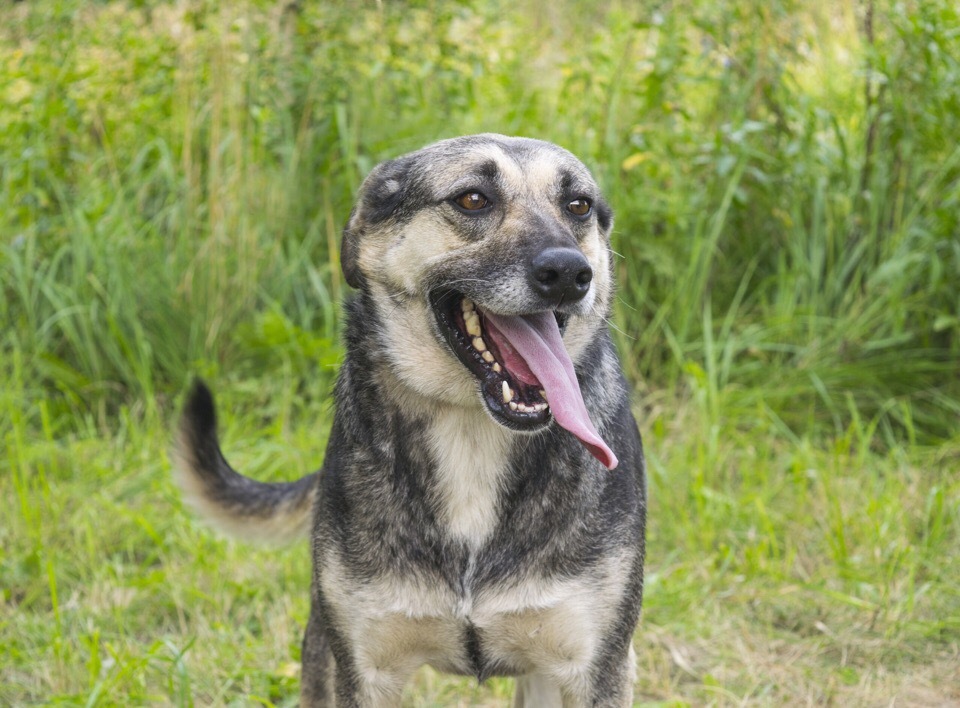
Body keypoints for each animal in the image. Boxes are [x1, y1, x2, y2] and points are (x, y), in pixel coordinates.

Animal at [176, 134, 648, 708]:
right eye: (473, 199)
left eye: (578, 205)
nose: (568, 273)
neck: (471, 432)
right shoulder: (362, 668)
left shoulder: (596, 667)